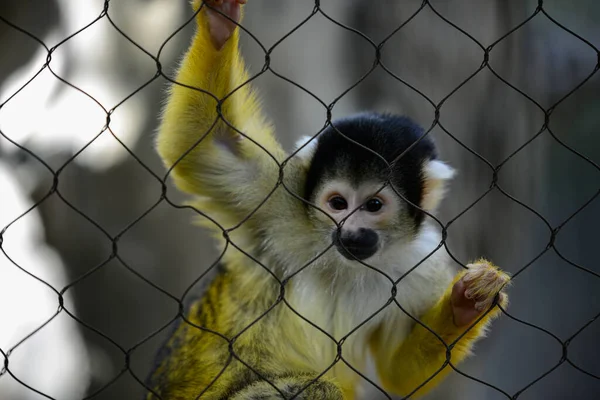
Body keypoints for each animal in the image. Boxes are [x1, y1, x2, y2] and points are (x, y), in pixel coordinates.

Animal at [145, 1, 506, 398]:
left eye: (373, 206)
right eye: (337, 203)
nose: (350, 232)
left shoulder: (421, 263)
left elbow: (399, 372)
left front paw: (469, 303)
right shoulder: (279, 198)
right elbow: (205, 148)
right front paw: (218, 25)